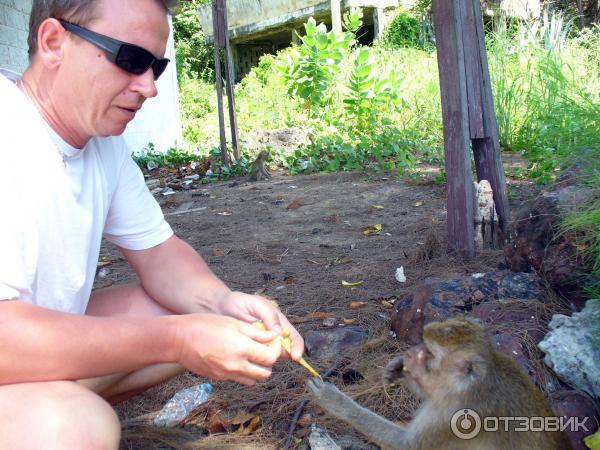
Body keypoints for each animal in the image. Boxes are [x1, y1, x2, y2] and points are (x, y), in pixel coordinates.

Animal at [308, 316, 568, 450]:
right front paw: (397, 367)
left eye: (430, 353)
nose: (410, 353)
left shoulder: (453, 418)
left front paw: (336, 402)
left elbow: (405, 446)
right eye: (422, 343)